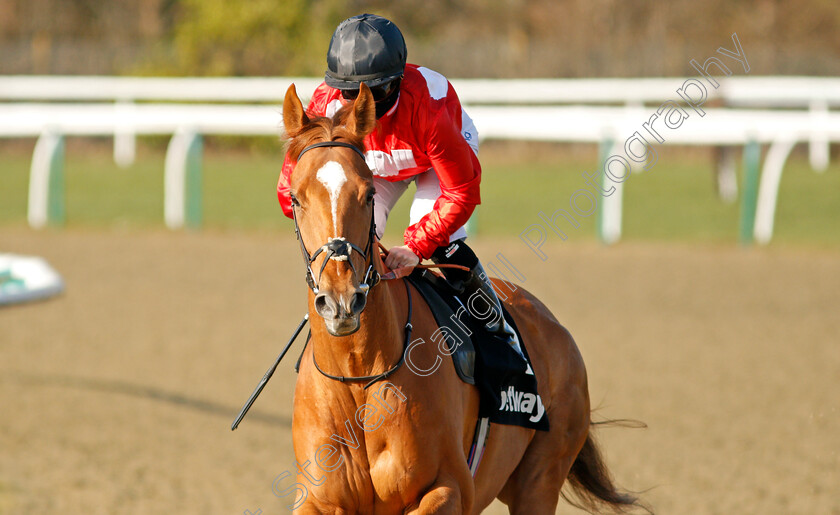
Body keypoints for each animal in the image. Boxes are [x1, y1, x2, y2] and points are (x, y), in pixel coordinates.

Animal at [280, 82, 644, 512]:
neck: (358, 375)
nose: (341, 301)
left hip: (539, 481)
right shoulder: (317, 499)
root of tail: (555, 327)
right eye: (296, 198)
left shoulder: (447, 488)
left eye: (368, 194)